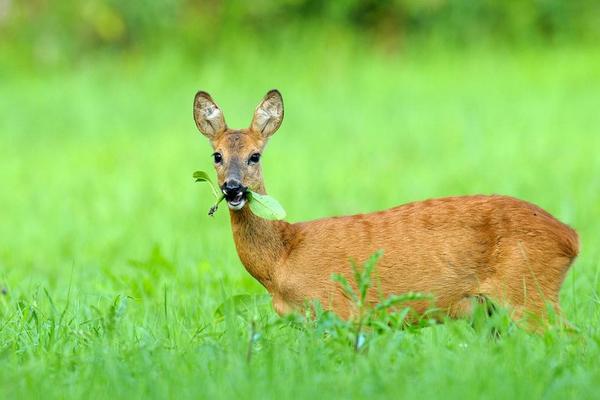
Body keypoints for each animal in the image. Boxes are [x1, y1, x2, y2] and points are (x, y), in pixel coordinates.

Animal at [195, 89, 580, 324]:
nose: (233, 188)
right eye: (217, 156)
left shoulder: (340, 310)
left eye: (254, 156)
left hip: (528, 291)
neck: (282, 260)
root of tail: (570, 237)